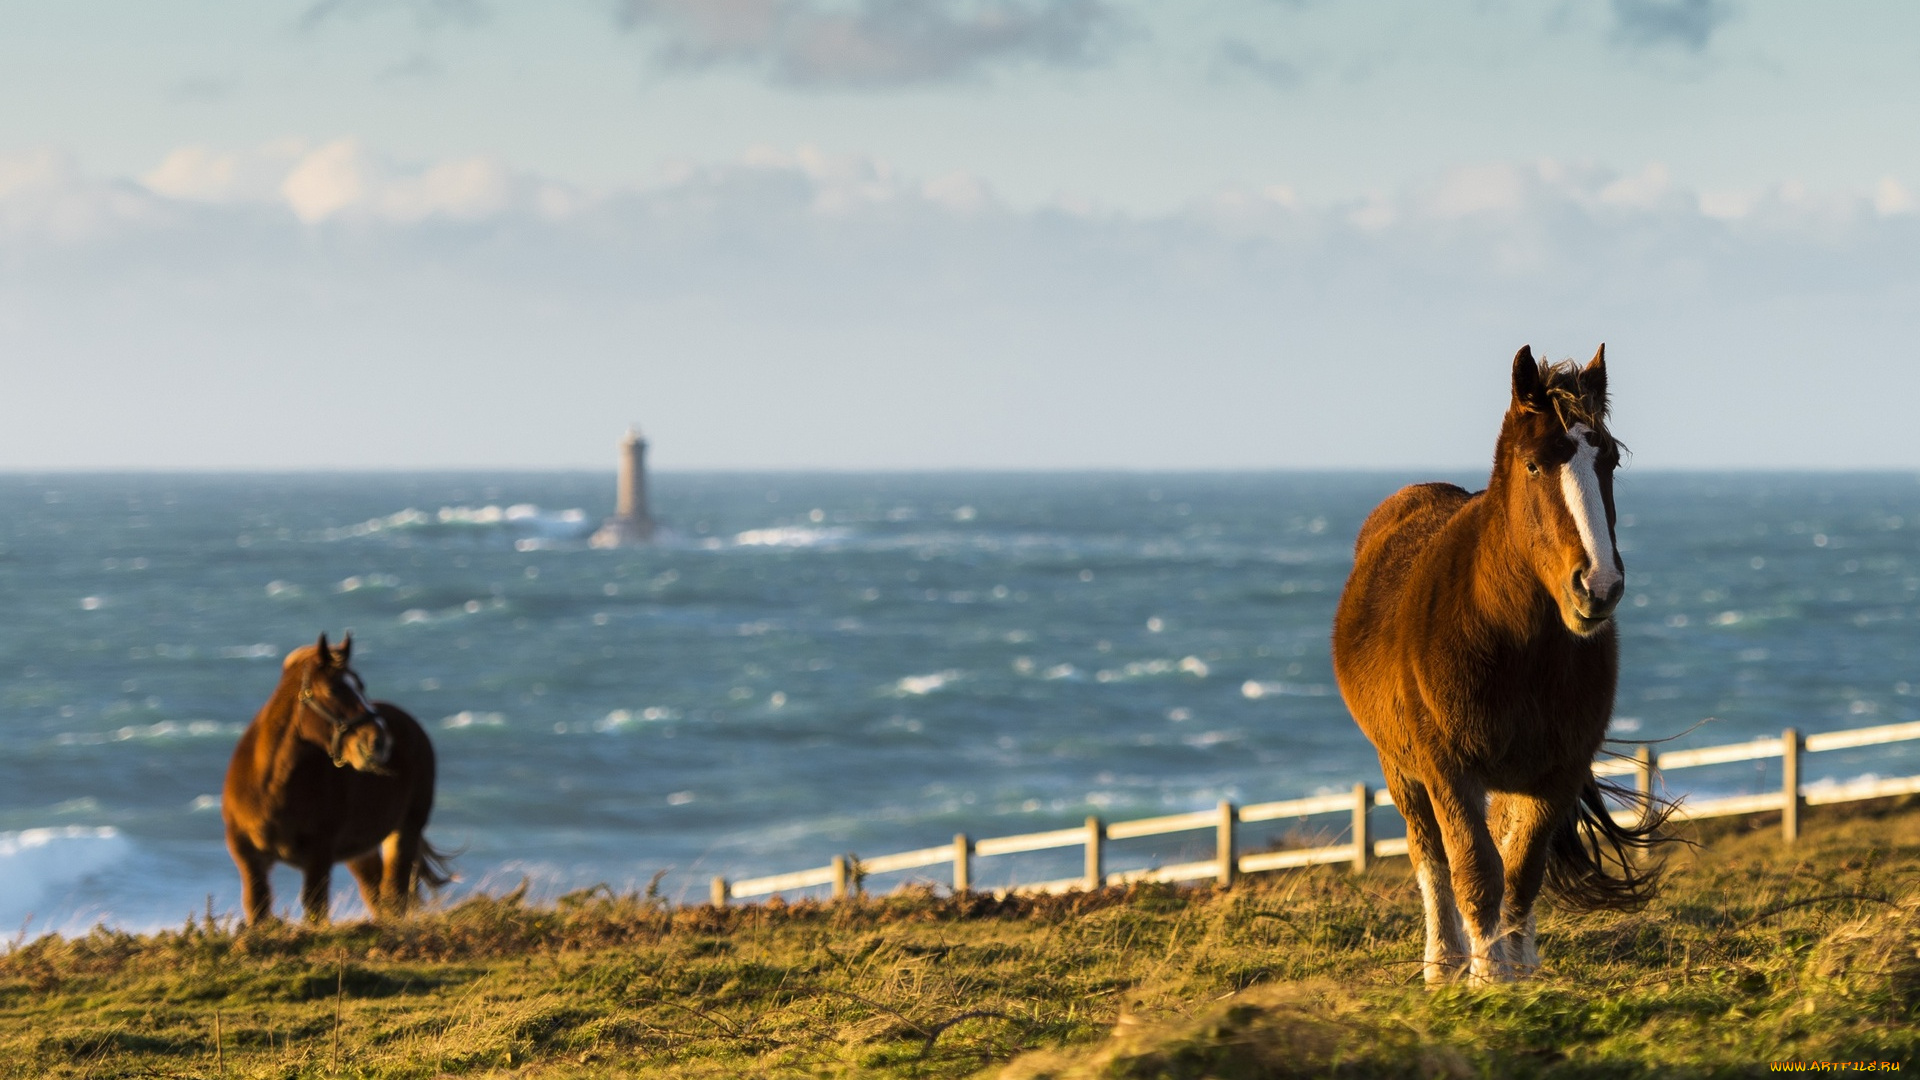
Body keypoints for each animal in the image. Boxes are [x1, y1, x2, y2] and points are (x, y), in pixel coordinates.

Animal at [220, 630, 449, 926]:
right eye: (332, 689)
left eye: (360, 685)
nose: (379, 742)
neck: (269, 788)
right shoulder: (249, 859)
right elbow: (258, 909)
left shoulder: (319, 855)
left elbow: (315, 909)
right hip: (362, 851)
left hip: (404, 831)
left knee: (394, 896)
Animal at [1328, 345, 1674, 983]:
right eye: (1534, 466)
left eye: (1610, 462)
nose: (1598, 586)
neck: (1511, 643)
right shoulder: (1448, 771)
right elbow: (1473, 868)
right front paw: (1486, 976)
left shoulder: (1556, 773)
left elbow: (1522, 870)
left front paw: (1511, 971)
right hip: (1400, 767)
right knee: (1430, 856)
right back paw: (1444, 961)